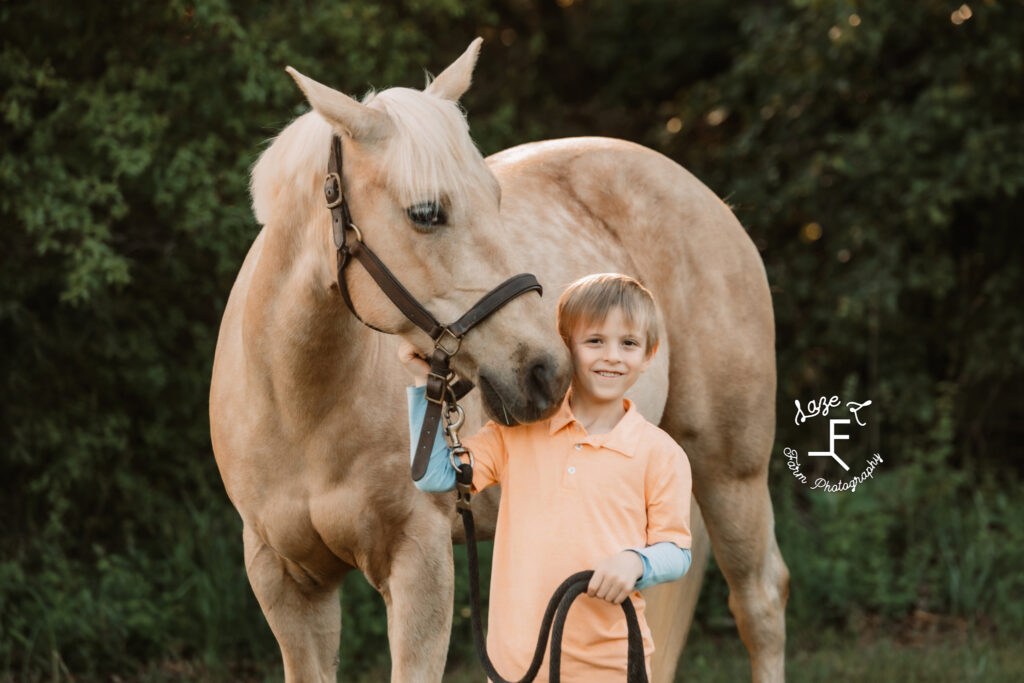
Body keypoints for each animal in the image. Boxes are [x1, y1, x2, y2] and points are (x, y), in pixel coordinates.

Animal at [205, 38, 782, 683]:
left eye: (496, 197)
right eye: (425, 212)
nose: (546, 372)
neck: (301, 408)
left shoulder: (420, 564)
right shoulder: (285, 582)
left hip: (731, 473)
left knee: (760, 603)